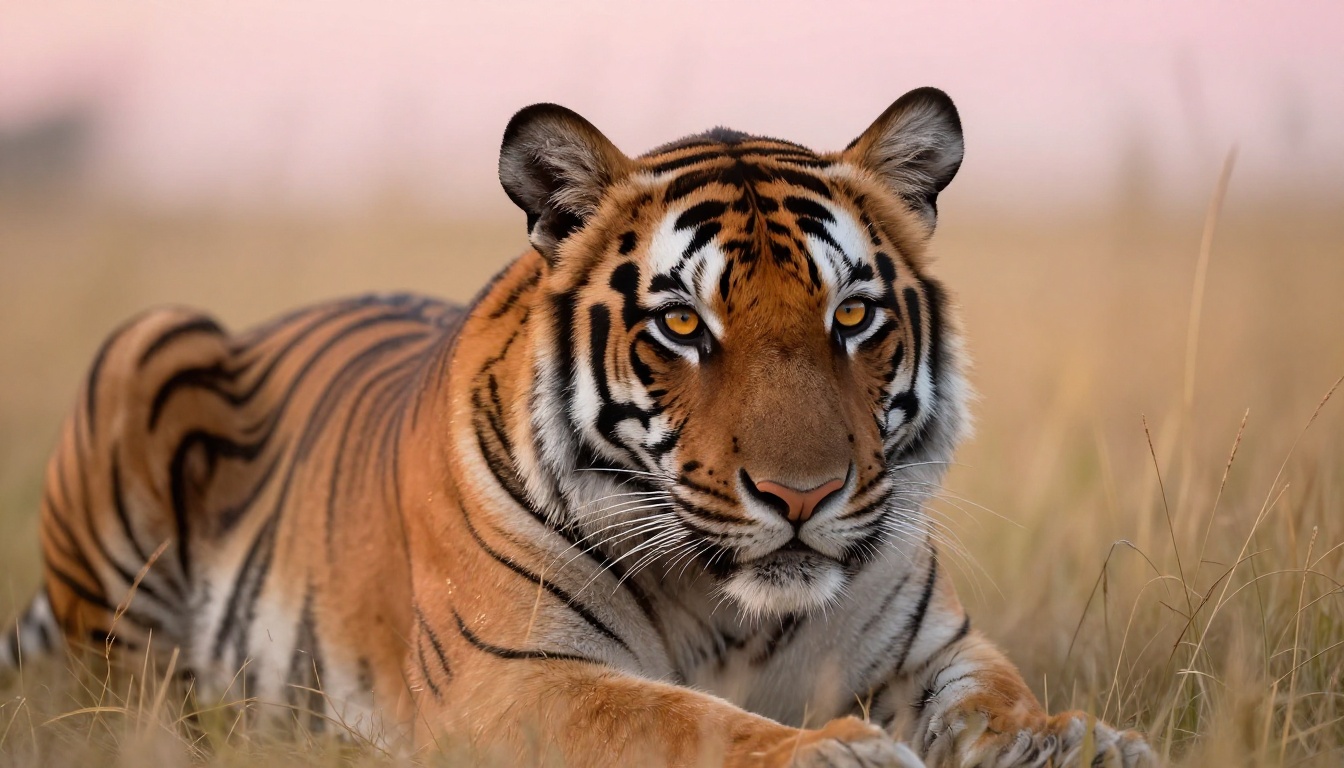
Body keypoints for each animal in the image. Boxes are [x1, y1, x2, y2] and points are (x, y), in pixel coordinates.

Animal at [1, 87, 1154, 767]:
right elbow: (673, 718)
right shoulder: (514, 678)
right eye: (683, 324)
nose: (803, 497)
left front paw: (1082, 744)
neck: (734, 609)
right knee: (123, 704)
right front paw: (829, 753)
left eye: (853, 316)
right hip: (152, 345)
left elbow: (996, 705)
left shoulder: (930, 650)